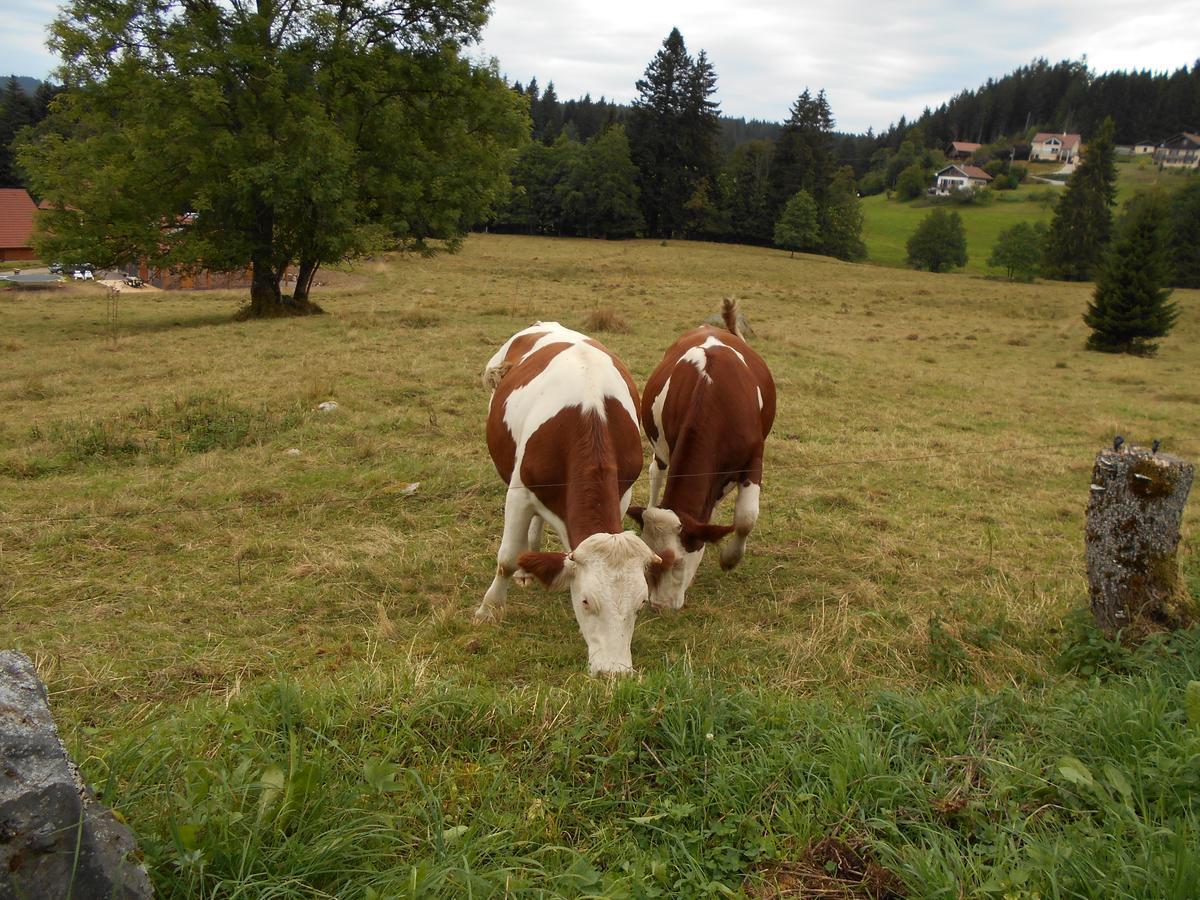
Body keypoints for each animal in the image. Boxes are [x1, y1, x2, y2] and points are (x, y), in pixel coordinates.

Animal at [477, 324, 672, 676]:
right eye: (585, 601)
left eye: (640, 604)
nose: (614, 672)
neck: (589, 421)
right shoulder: (519, 493)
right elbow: (507, 558)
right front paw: (490, 609)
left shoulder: (621, 493)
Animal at [628, 301, 777, 614]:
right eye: (649, 564)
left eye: (678, 562)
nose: (659, 606)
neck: (713, 395)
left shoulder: (753, 458)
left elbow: (745, 518)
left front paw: (730, 558)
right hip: (660, 447)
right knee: (656, 473)